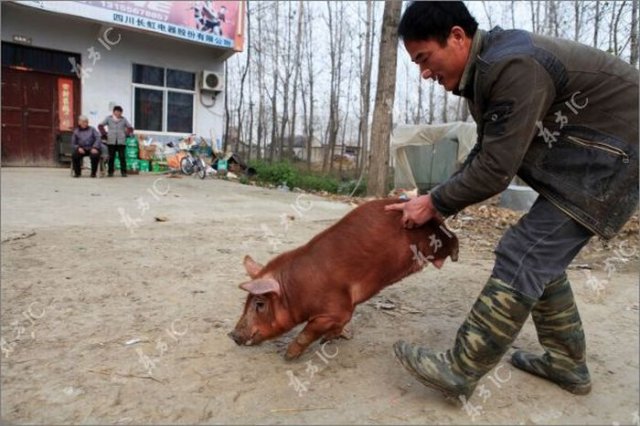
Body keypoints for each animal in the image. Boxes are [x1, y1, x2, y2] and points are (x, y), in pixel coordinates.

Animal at [228, 199, 458, 360]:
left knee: (452, 237)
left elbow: (309, 331)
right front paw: (339, 336)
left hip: (437, 235)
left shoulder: (337, 307)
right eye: (246, 302)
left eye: (259, 303)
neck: (296, 291)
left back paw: (454, 255)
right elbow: (341, 324)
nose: (232, 335)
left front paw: (290, 355)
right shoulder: (348, 307)